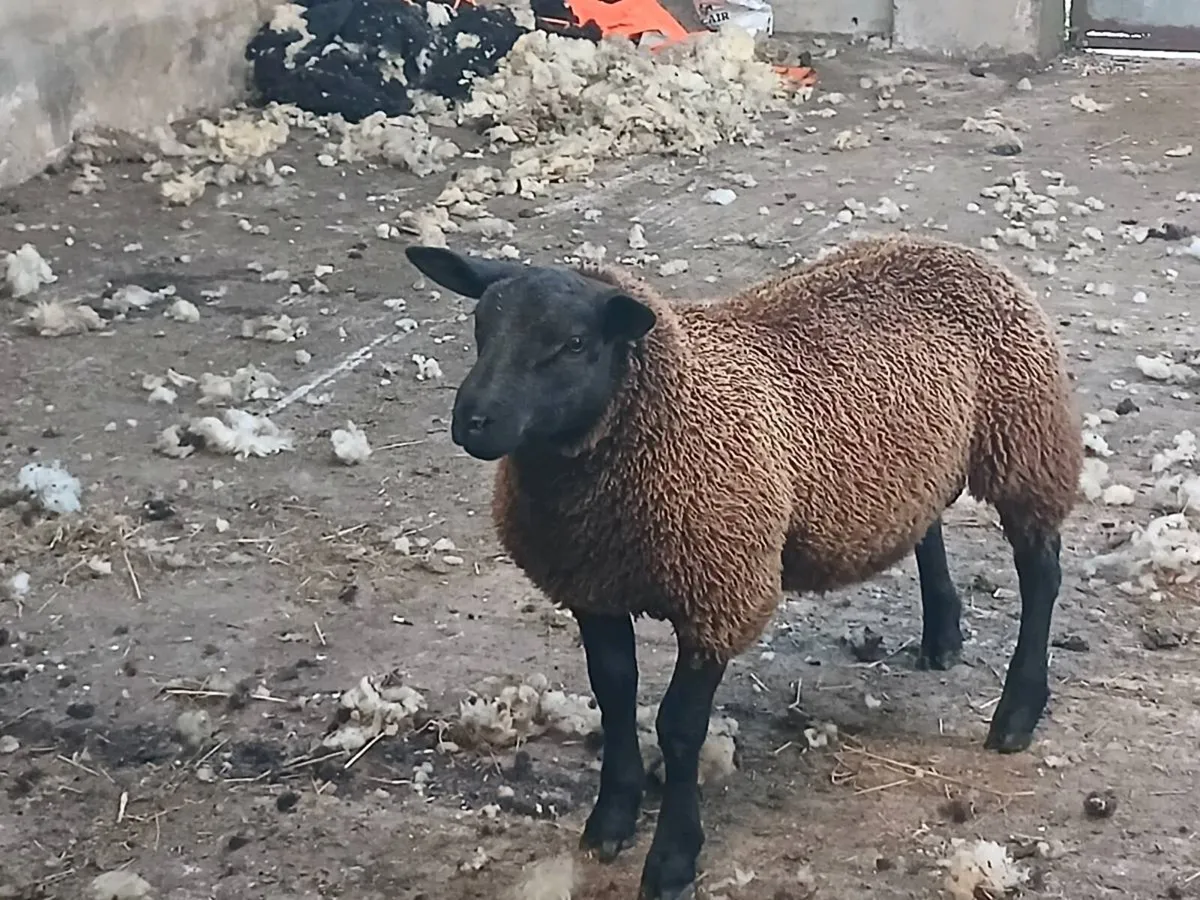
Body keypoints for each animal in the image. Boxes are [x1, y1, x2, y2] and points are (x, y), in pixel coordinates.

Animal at [404, 233, 1083, 900]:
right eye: (481, 326)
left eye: (574, 343)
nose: (474, 421)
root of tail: (955, 249)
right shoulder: (595, 587)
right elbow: (613, 694)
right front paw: (611, 820)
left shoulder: (721, 592)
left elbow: (680, 728)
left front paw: (673, 860)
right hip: (913, 465)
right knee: (927, 524)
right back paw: (942, 634)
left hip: (1027, 441)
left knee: (1041, 574)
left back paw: (1017, 712)